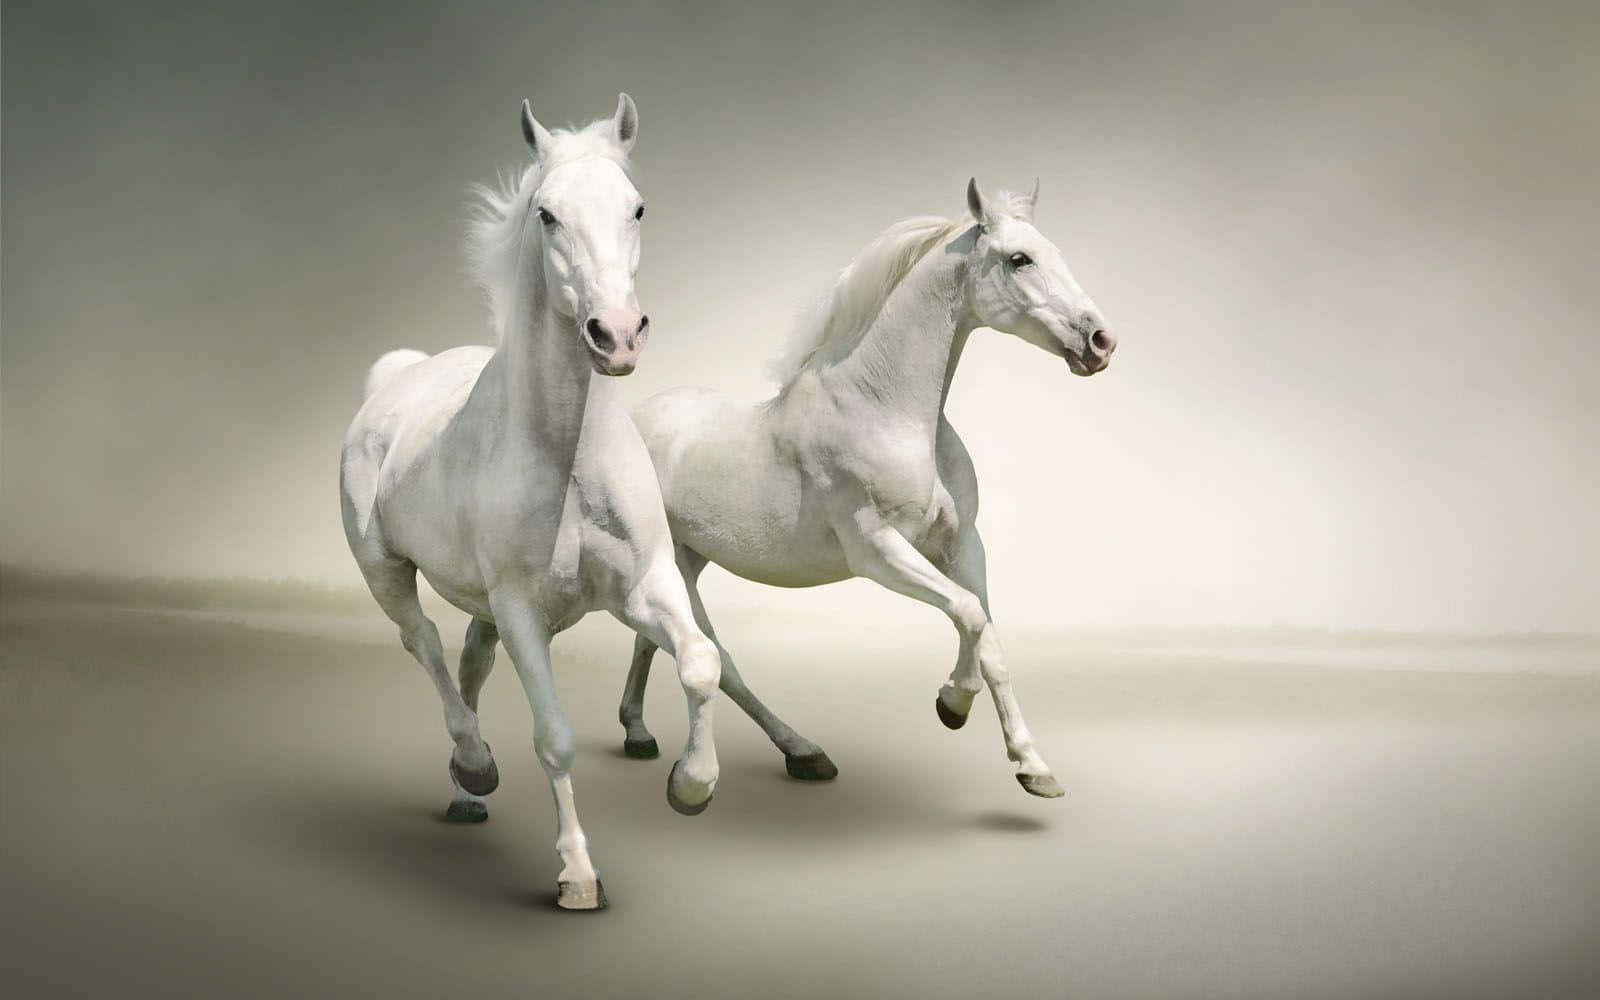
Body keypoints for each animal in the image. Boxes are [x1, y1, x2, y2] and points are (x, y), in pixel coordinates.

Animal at [339, 94, 721, 910]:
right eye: (547, 215)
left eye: (637, 207)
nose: (617, 335)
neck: (566, 457)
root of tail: (396, 378)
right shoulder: (522, 612)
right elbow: (555, 738)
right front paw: (577, 875)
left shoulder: (644, 586)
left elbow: (701, 662)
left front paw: (690, 785)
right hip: (385, 571)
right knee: (423, 643)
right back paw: (475, 764)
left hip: (481, 605)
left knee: (468, 661)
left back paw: (466, 791)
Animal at [616, 178, 1116, 799]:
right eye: (1019, 259)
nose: (1100, 341)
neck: (886, 411)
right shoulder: (877, 551)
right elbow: (969, 615)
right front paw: (952, 704)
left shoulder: (962, 545)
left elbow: (990, 638)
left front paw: (1033, 767)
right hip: (675, 568)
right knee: (715, 657)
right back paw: (793, 753)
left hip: (687, 559)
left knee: (654, 641)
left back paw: (642, 734)